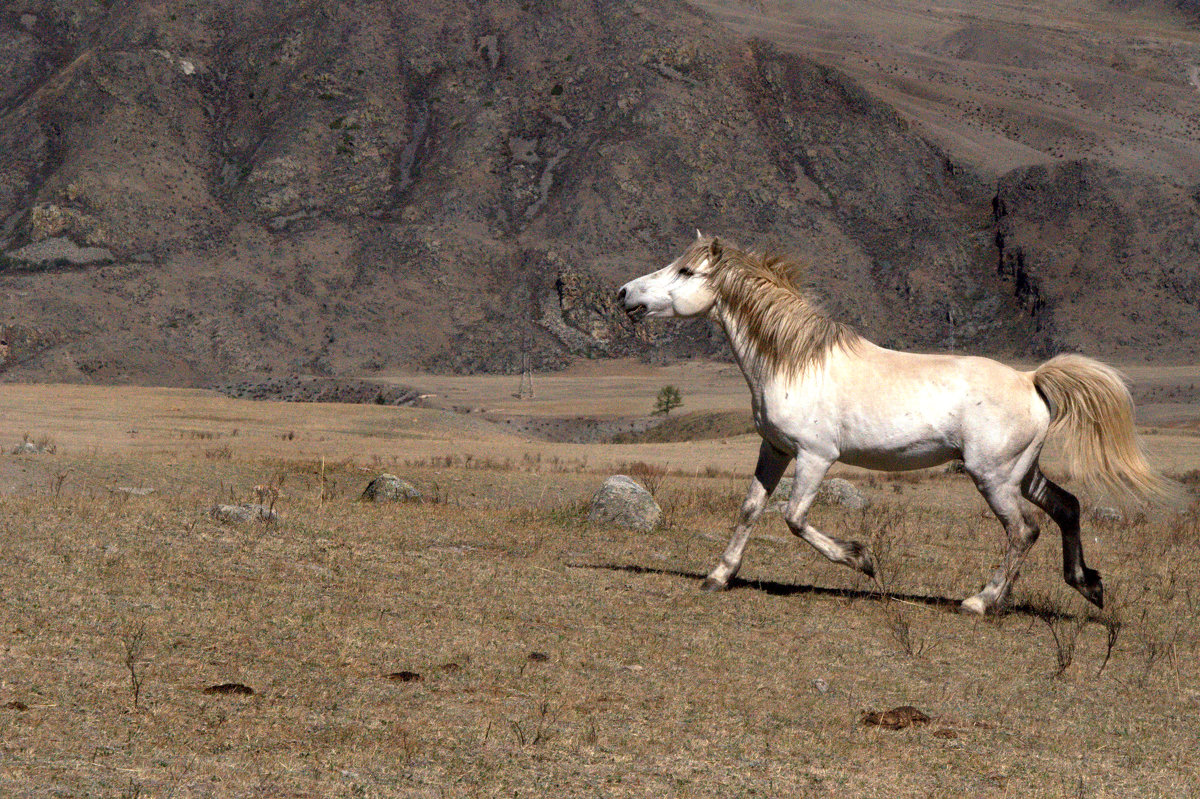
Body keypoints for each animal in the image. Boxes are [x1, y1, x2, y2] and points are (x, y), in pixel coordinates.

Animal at [624, 233, 1166, 611]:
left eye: (685, 269)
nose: (625, 294)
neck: (794, 361)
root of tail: (1031, 379)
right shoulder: (774, 449)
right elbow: (750, 508)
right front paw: (718, 576)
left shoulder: (816, 457)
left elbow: (794, 518)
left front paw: (863, 560)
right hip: (1021, 472)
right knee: (1067, 507)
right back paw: (1088, 585)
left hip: (992, 477)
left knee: (1024, 531)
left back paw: (981, 602)